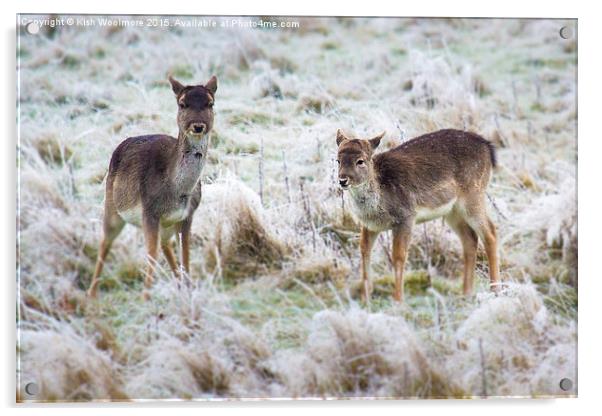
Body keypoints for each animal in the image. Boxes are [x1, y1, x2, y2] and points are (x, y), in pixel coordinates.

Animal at [84, 74, 216, 296]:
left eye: (210, 103)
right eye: (182, 103)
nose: (198, 126)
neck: (177, 193)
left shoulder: (187, 215)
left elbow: (185, 255)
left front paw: (188, 289)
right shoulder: (149, 212)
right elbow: (151, 256)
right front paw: (146, 298)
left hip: (165, 225)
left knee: (165, 245)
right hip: (111, 206)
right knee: (105, 242)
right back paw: (91, 294)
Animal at [336, 128, 500, 300]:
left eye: (360, 161)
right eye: (338, 160)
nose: (343, 180)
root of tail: (488, 148)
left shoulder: (406, 216)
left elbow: (399, 256)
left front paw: (398, 299)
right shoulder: (369, 225)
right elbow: (364, 251)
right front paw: (365, 298)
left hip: (473, 195)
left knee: (490, 232)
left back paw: (495, 289)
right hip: (452, 210)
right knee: (470, 239)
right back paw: (466, 293)